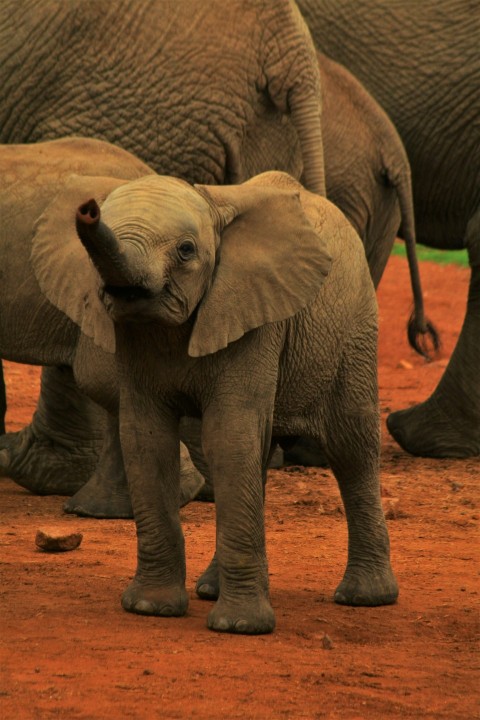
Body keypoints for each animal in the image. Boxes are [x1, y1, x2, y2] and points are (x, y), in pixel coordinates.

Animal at [69, 169, 398, 632]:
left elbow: (228, 435)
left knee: (350, 448)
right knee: (258, 455)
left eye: (186, 250)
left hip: (354, 326)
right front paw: (150, 608)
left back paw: (365, 598)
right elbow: (146, 438)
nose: (86, 209)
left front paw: (239, 627)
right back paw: (210, 589)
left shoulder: (256, 317)